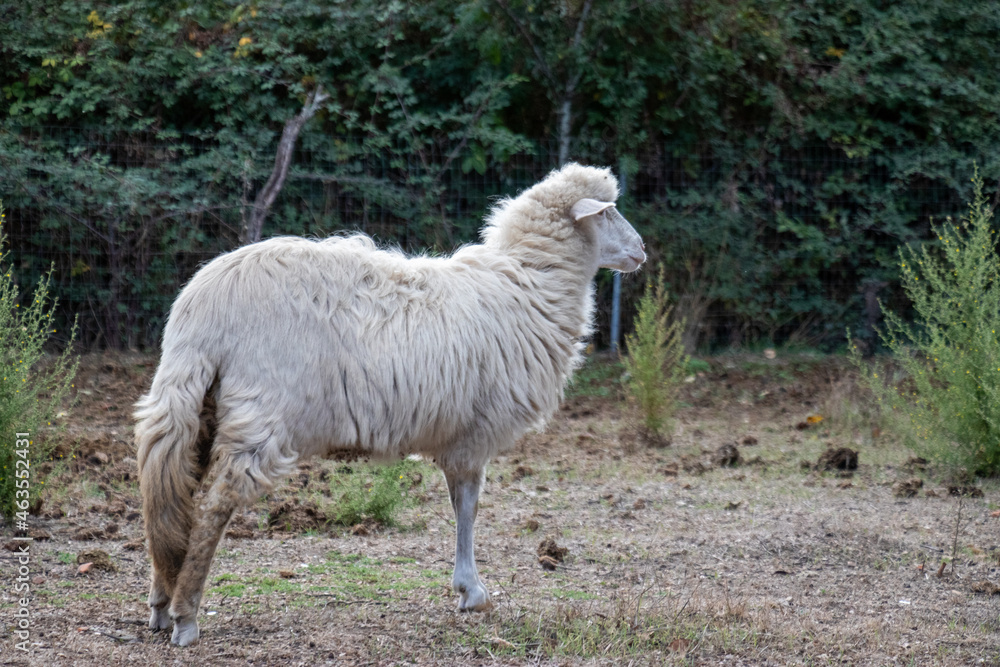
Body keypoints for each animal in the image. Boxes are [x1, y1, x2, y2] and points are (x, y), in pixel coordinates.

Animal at [135, 162, 648, 648]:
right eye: (607, 212)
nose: (642, 251)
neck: (530, 282)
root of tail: (203, 310)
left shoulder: (456, 434)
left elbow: (458, 502)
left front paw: (466, 588)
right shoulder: (474, 434)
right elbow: (468, 505)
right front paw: (473, 591)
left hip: (193, 405)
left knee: (167, 497)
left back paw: (161, 604)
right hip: (261, 415)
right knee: (212, 506)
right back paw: (186, 615)